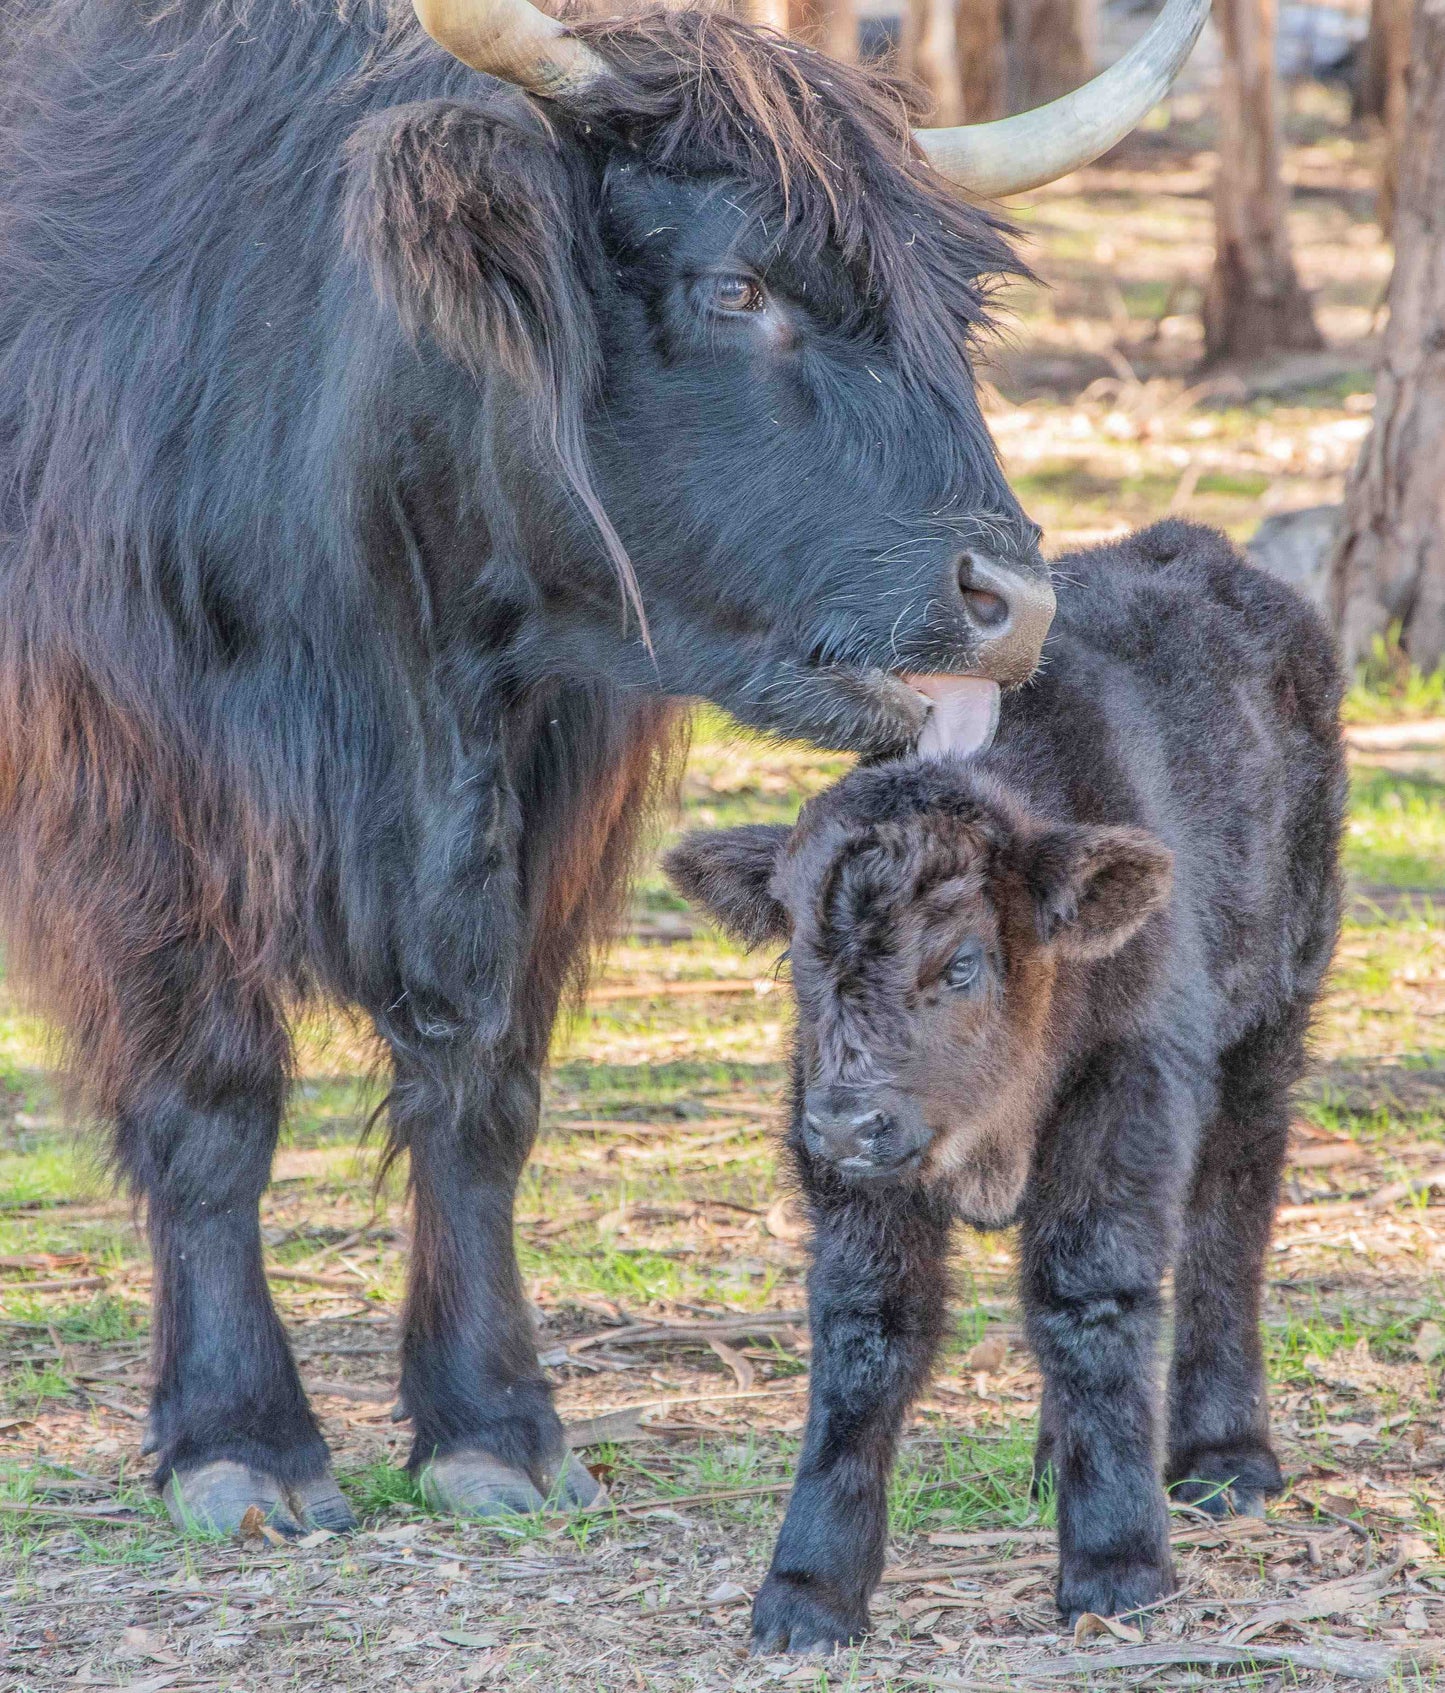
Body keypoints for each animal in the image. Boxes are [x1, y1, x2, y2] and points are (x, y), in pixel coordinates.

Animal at [0, 0, 1211, 1571]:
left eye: (959, 308)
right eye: (733, 284)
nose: (1013, 602)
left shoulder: (539, 818)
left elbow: (483, 1093)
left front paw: (496, 1428)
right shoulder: (135, 800)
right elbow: (213, 1100)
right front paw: (242, 1444)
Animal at [666, 521, 1346, 1645]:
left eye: (961, 964)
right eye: (802, 953)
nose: (848, 1123)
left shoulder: (1124, 1097)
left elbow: (1090, 1295)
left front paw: (1116, 1563)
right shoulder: (846, 1167)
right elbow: (868, 1331)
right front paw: (808, 1588)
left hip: (1269, 1022)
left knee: (1227, 1220)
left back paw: (1223, 1460)